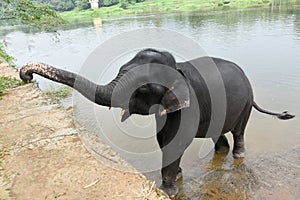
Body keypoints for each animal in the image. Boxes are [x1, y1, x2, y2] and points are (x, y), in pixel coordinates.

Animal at [19, 48, 294, 197]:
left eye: (142, 88)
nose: (26, 76)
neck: (178, 68)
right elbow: (163, 139)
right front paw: (178, 177)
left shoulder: (189, 104)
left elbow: (176, 142)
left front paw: (169, 191)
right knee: (219, 134)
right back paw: (221, 152)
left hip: (245, 103)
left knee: (238, 132)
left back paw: (237, 156)